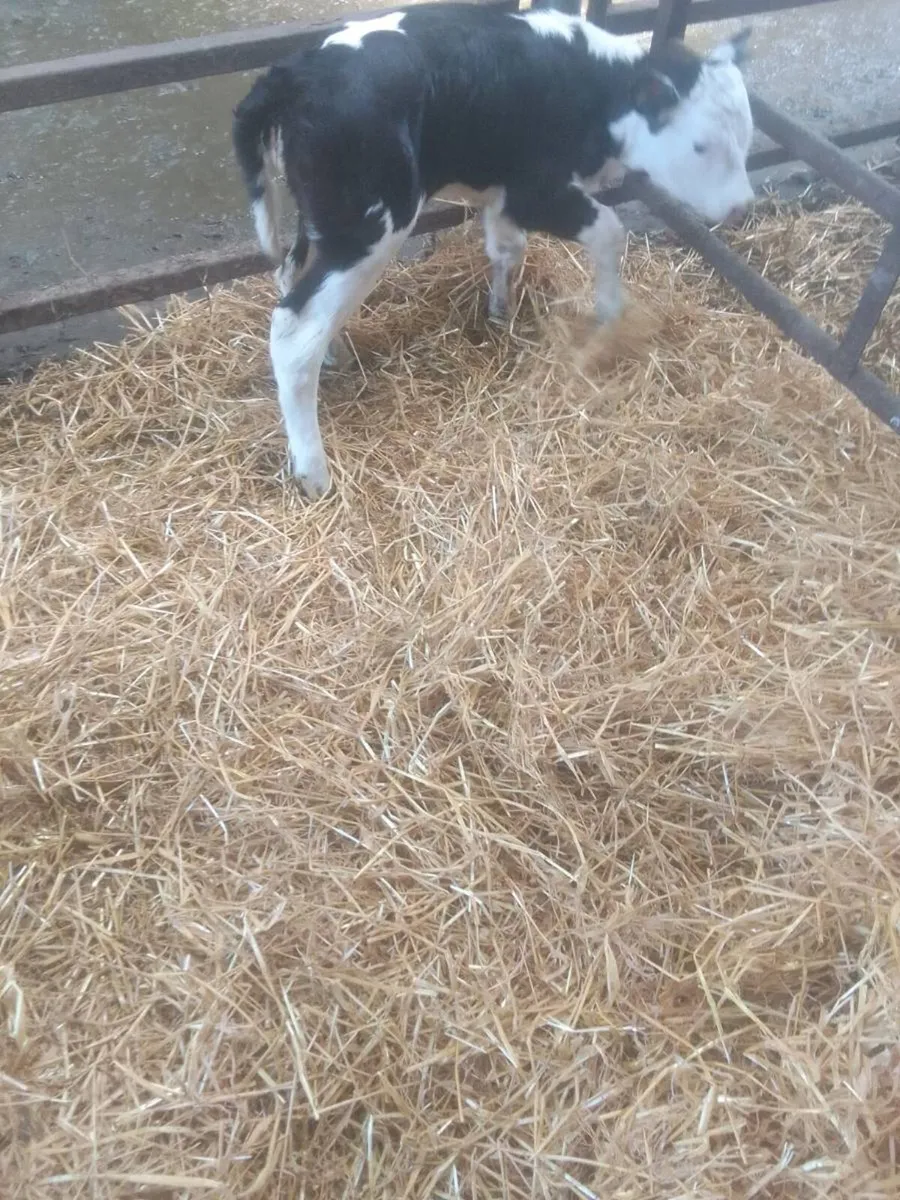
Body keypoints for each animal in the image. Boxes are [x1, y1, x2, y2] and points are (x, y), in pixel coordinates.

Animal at [233, 4, 754, 498]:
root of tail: (290, 73)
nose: (741, 207)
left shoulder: (503, 194)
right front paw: (609, 319)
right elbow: (610, 231)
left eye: (747, 137)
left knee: (293, 275)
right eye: (701, 145)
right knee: (294, 329)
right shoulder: (535, 191)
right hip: (369, 224)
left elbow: (506, 246)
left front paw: (500, 310)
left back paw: (335, 354)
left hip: (324, 219)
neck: (591, 88)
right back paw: (313, 472)